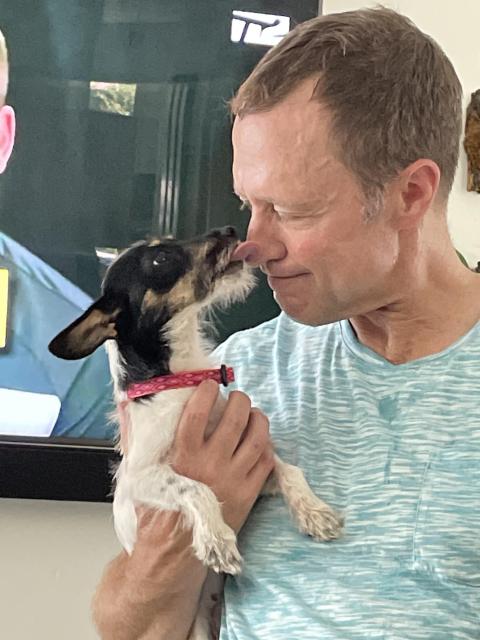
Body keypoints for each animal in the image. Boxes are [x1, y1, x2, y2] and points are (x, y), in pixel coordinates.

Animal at [48, 228, 344, 636]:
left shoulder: (255, 458)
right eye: (160, 259)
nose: (230, 231)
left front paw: (314, 511)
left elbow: (289, 470)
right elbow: (197, 487)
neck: (181, 380)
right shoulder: (139, 477)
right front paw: (216, 538)